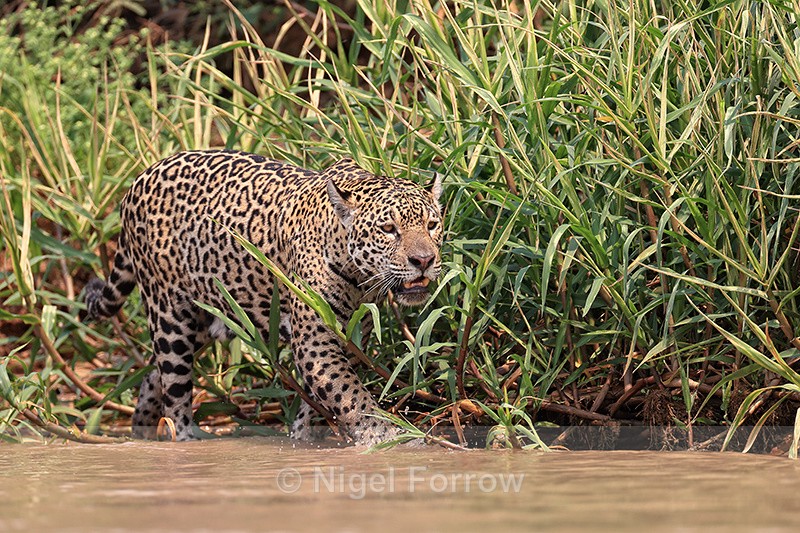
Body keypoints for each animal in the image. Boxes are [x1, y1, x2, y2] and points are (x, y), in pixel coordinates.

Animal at [83, 150, 443, 446]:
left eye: (432, 224)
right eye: (388, 229)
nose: (424, 260)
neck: (358, 276)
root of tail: (138, 179)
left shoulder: (353, 337)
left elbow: (321, 401)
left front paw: (304, 439)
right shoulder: (315, 341)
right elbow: (350, 395)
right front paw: (388, 436)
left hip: (203, 320)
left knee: (152, 375)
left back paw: (140, 430)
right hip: (171, 317)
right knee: (175, 392)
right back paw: (184, 438)